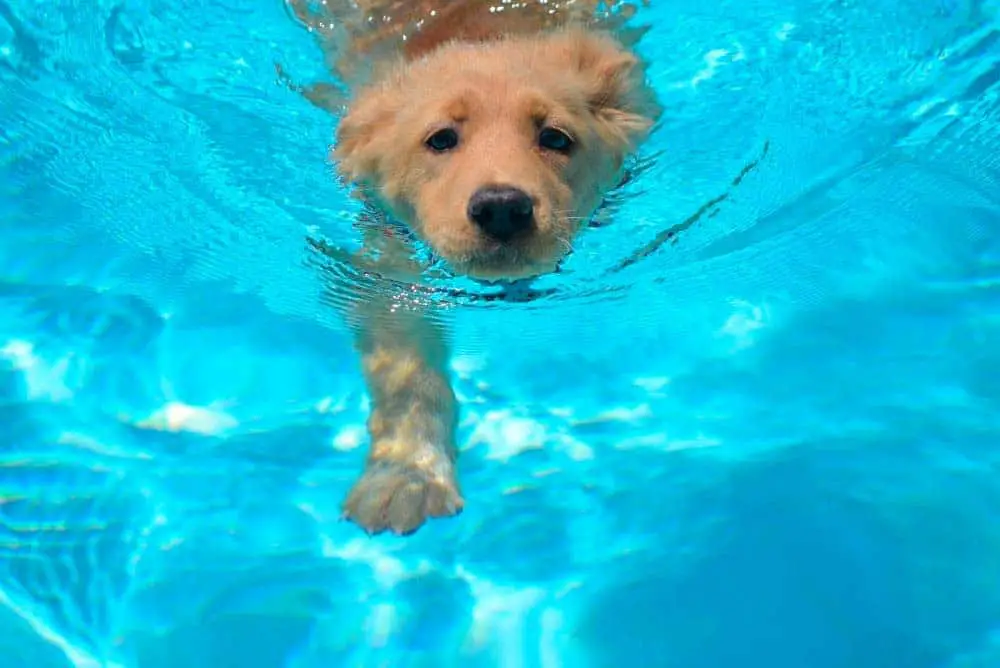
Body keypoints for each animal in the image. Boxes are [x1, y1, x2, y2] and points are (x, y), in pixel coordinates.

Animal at [290, 0, 664, 536]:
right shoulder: (382, 265)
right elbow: (407, 372)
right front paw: (405, 477)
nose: (502, 208)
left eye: (555, 138)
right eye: (441, 139)